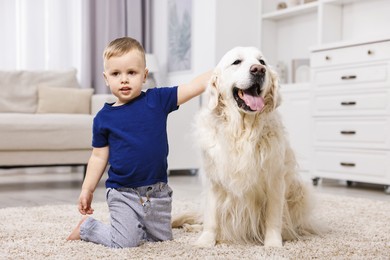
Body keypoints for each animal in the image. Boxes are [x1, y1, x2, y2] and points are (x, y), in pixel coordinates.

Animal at [172, 46, 318, 248]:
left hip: (299, 191)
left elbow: (273, 216)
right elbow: (211, 218)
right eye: (236, 62)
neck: (242, 131)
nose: (259, 70)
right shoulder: (214, 178)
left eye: (262, 62)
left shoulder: (275, 178)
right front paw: (205, 240)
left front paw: (273, 243)